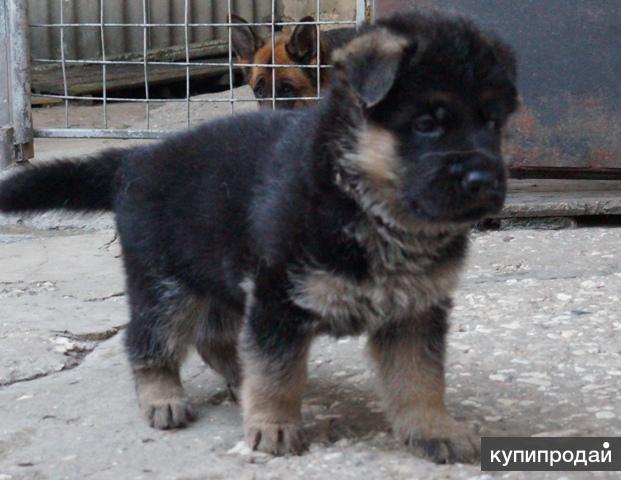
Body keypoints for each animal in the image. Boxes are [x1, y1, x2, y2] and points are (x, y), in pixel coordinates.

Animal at [1, 12, 520, 464]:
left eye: (492, 122)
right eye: (427, 124)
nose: (486, 182)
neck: (362, 199)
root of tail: (134, 160)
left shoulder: (414, 312)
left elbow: (420, 379)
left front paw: (433, 429)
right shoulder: (277, 298)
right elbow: (277, 372)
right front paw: (274, 426)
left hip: (221, 273)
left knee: (214, 339)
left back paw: (236, 379)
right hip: (165, 282)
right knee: (147, 337)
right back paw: (162, 396)